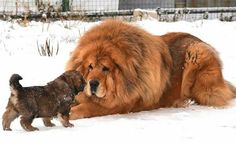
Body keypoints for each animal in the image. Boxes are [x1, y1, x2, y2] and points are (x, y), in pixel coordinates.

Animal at [65, 19, 235, 120]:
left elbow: (88, 107)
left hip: (197, 53)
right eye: (90, 67)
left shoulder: (119, 104)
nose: (92, 83)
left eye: (106, 68)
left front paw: (71, 112)